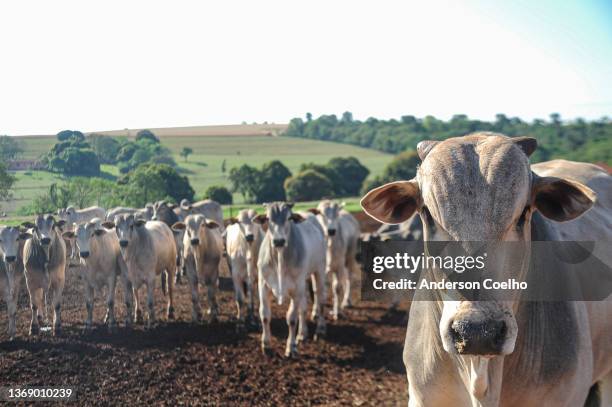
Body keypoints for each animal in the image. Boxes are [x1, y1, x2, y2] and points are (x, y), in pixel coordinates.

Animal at [255, 203, 328, 356]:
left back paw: (320, 329)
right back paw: (302, 334)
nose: (279, 241)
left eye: (289, 218)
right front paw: (266, 344)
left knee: (320, 300)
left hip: (319, 271)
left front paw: (291, 347)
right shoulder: (263, 285)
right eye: (268, 218)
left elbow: (291, 318)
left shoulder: (296, 288)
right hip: (303, 282)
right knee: (303, 308)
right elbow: (265, 315)